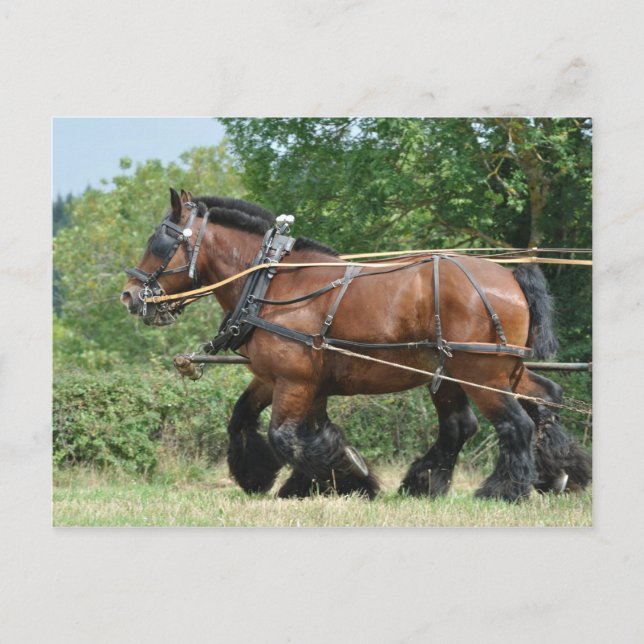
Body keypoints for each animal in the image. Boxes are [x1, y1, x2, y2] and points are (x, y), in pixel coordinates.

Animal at [121, 189, 591, 502]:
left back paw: (502, 490)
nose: (129, 296)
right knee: (532, 402)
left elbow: (286, 437)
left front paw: (349, 476)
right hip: (485, 371)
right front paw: (269, 478)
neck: (270, 282)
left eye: (160, 241)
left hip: (480, 372)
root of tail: (510, 276)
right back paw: (553, 475)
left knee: (515, 424)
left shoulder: (293, 380)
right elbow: (252, 421)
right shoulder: (284, 380)